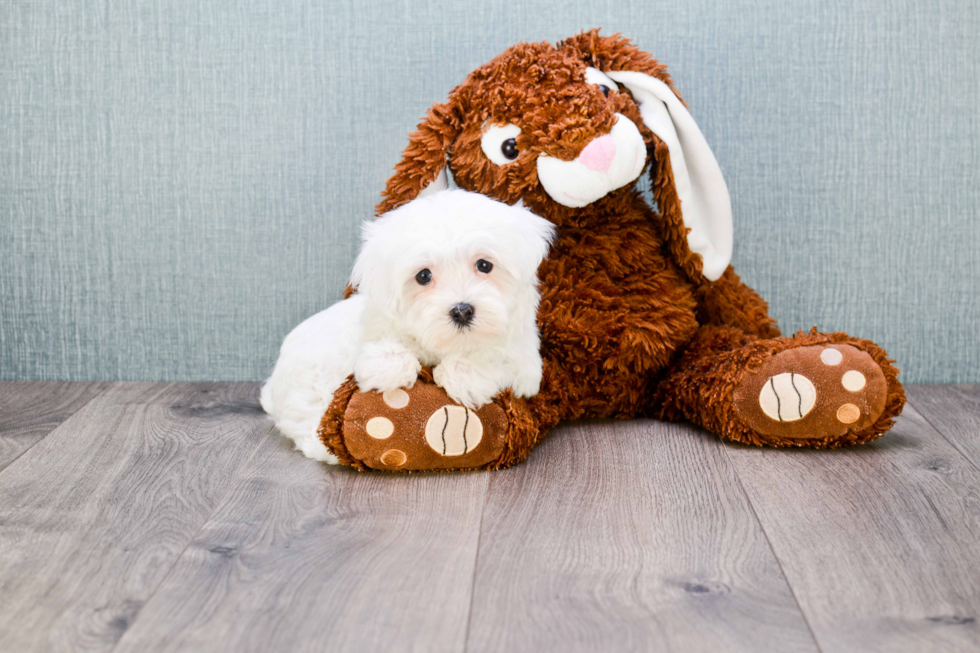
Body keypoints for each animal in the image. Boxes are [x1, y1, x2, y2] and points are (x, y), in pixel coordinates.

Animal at [260, 191, 556, 460]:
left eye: (484, 265)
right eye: (423, 276)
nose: (461, 311)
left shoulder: (526, 363)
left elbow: (496, 357)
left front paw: (464, 375)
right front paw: (388, 366)